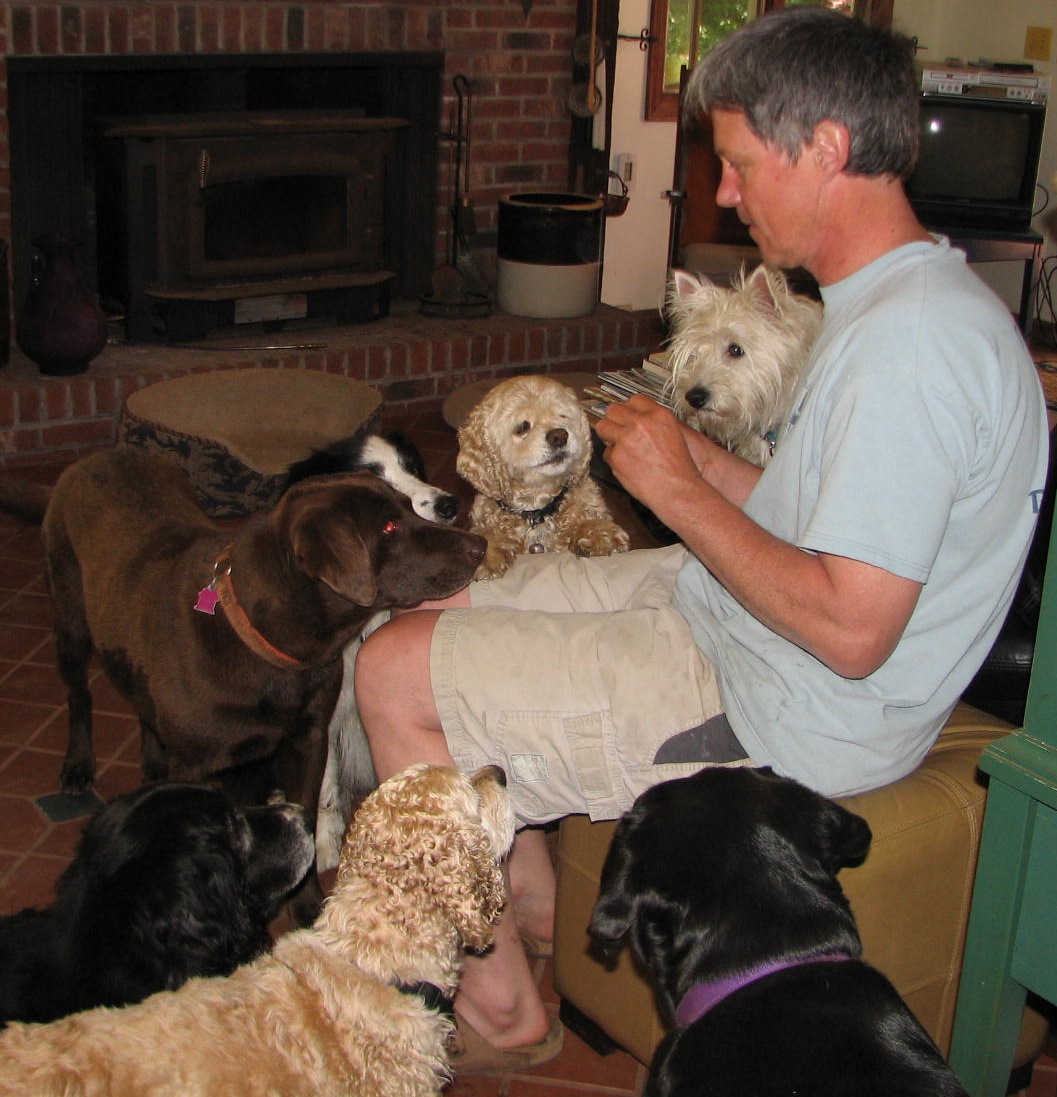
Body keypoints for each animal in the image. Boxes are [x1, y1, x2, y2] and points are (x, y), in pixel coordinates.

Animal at [456, 375, 627, 583]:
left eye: (562, 416)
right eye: (522, 427)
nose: (560, 436)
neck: (537, 510)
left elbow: (589, 517)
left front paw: (599, 533)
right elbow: (486, 533)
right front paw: (486, 555)